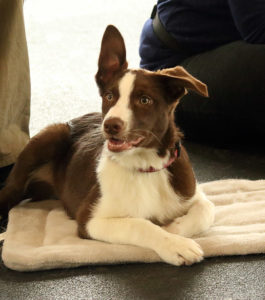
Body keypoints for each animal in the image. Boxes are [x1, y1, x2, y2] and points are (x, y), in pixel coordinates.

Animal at [0, 25, 213, 264]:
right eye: (110, 96)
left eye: (145, 100)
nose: (111, 125)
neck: (146, 166)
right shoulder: (90, 219)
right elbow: (139, 224)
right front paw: (175, 244)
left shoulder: (192, 192)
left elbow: (206, 210)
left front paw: (174, 229)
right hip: (48, 139)